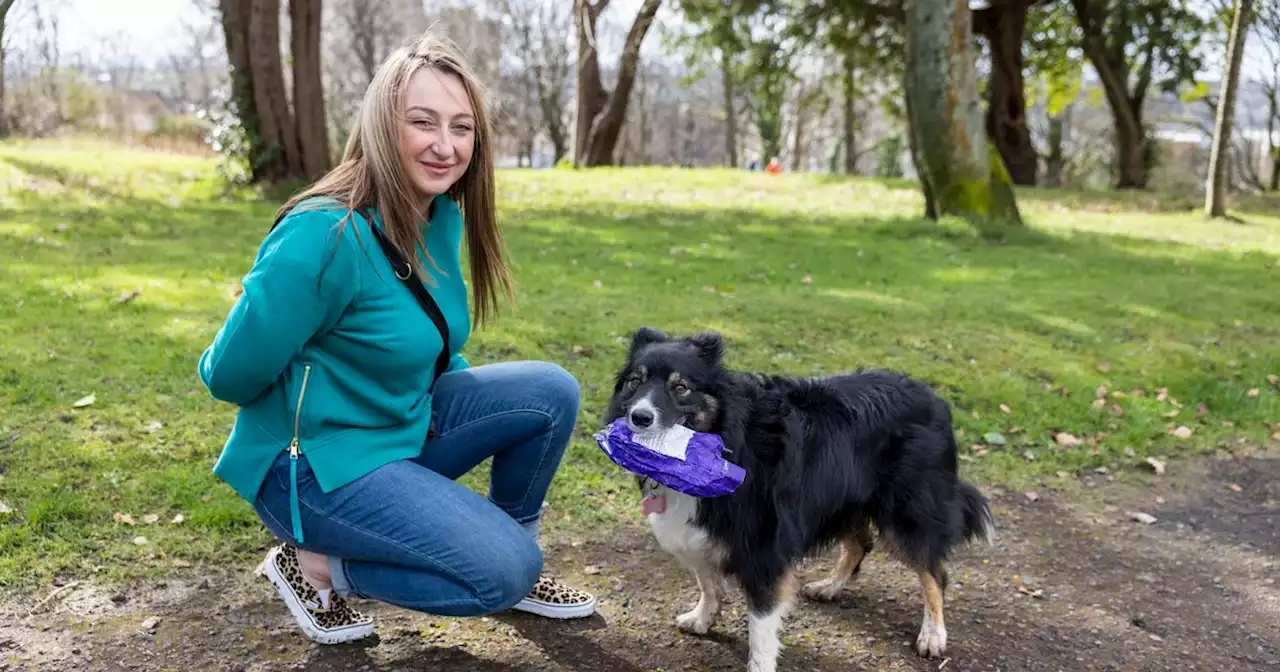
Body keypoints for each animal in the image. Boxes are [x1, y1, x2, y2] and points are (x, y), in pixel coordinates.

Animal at [604, 327, 993, 670]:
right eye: (635, 381)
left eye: (680, 387)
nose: (639, 417)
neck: (723, 438)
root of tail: (934, 397)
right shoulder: (699, 534)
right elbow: (708, 582)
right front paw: (702, 618)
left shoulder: (764, 552)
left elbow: (760, 630)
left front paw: (759, 666)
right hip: (844, 500)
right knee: (860, 544)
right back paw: (830, 586)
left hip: (908, 511)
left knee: (934, 573)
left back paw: (933, 634)